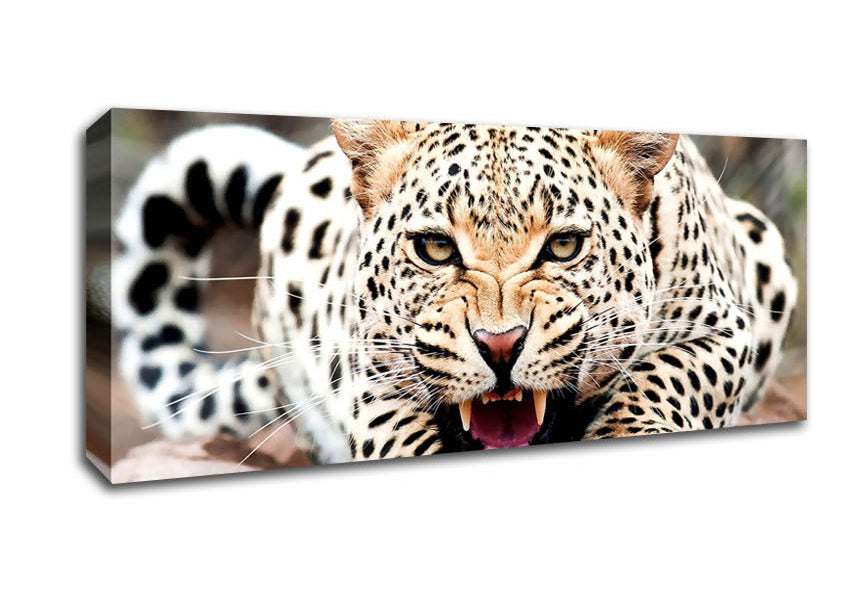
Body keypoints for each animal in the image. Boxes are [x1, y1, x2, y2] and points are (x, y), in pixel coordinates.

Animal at [113, 119, 797, 465]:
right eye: (436, 249)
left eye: (564, 247)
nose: (500, 345)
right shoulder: (368, 366)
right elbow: (395, 429)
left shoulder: (724, 324)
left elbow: (666, 377)